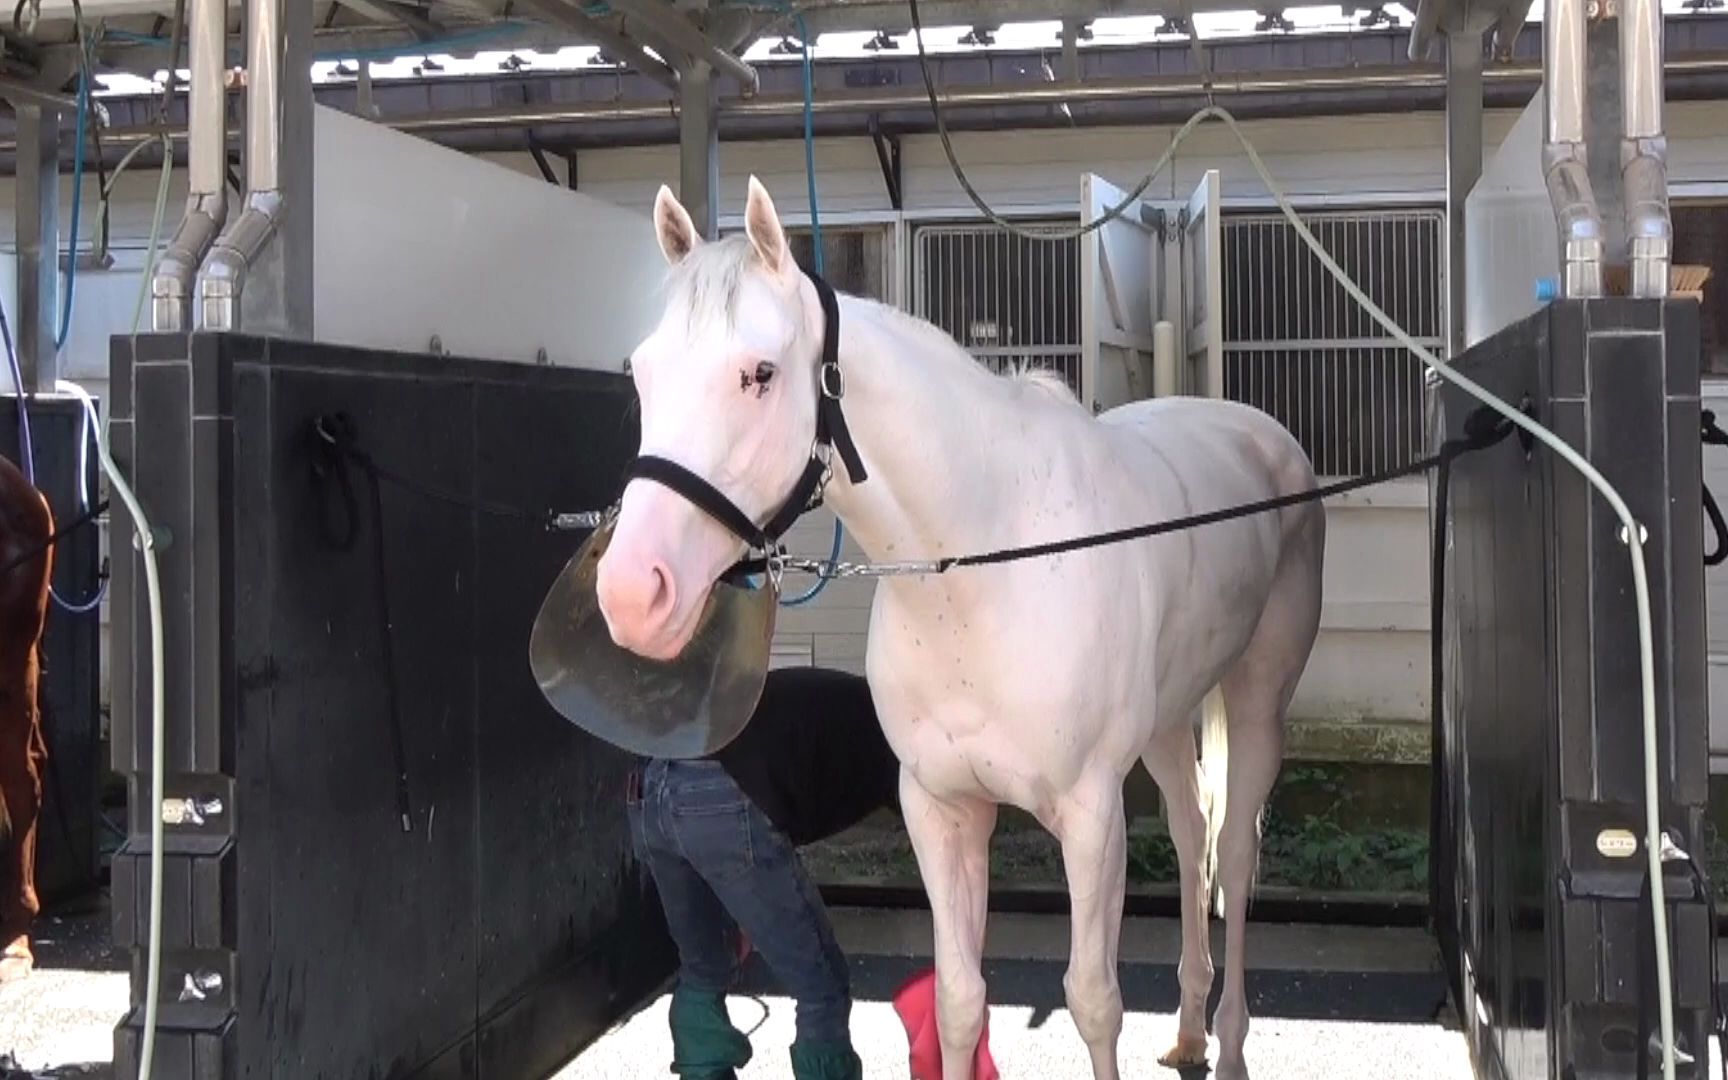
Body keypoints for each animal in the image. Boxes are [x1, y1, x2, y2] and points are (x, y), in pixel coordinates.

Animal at [590, 178, 1320, 1078]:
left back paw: (1233, 1041)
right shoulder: (940, 809)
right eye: (643, 371)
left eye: (758, 373)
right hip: (1167, 720)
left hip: (1256, 704)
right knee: (1192, 837)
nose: (632, 591)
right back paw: (1188, 1029)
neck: (985, 567)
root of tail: (1266, 440)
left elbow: (1093, 999)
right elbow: (961, 998)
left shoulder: (1091, 816)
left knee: (1237, 856)